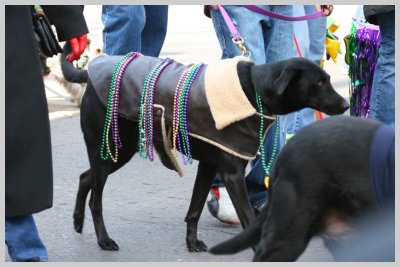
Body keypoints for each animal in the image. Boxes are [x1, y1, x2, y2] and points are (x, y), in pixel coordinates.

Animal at [70, 55, 348, 252]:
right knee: (96, 200)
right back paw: (104, 240)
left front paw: (192, 243)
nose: (346, 104)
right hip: (111, 149)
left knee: (85, 177)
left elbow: (194, 209)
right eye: (319, 82)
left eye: (328, 79)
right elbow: (248, 217)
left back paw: (77, 221)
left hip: (116, 152)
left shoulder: (209, 166)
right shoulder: (232, 174)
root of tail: (90, 71)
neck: (253, 91)